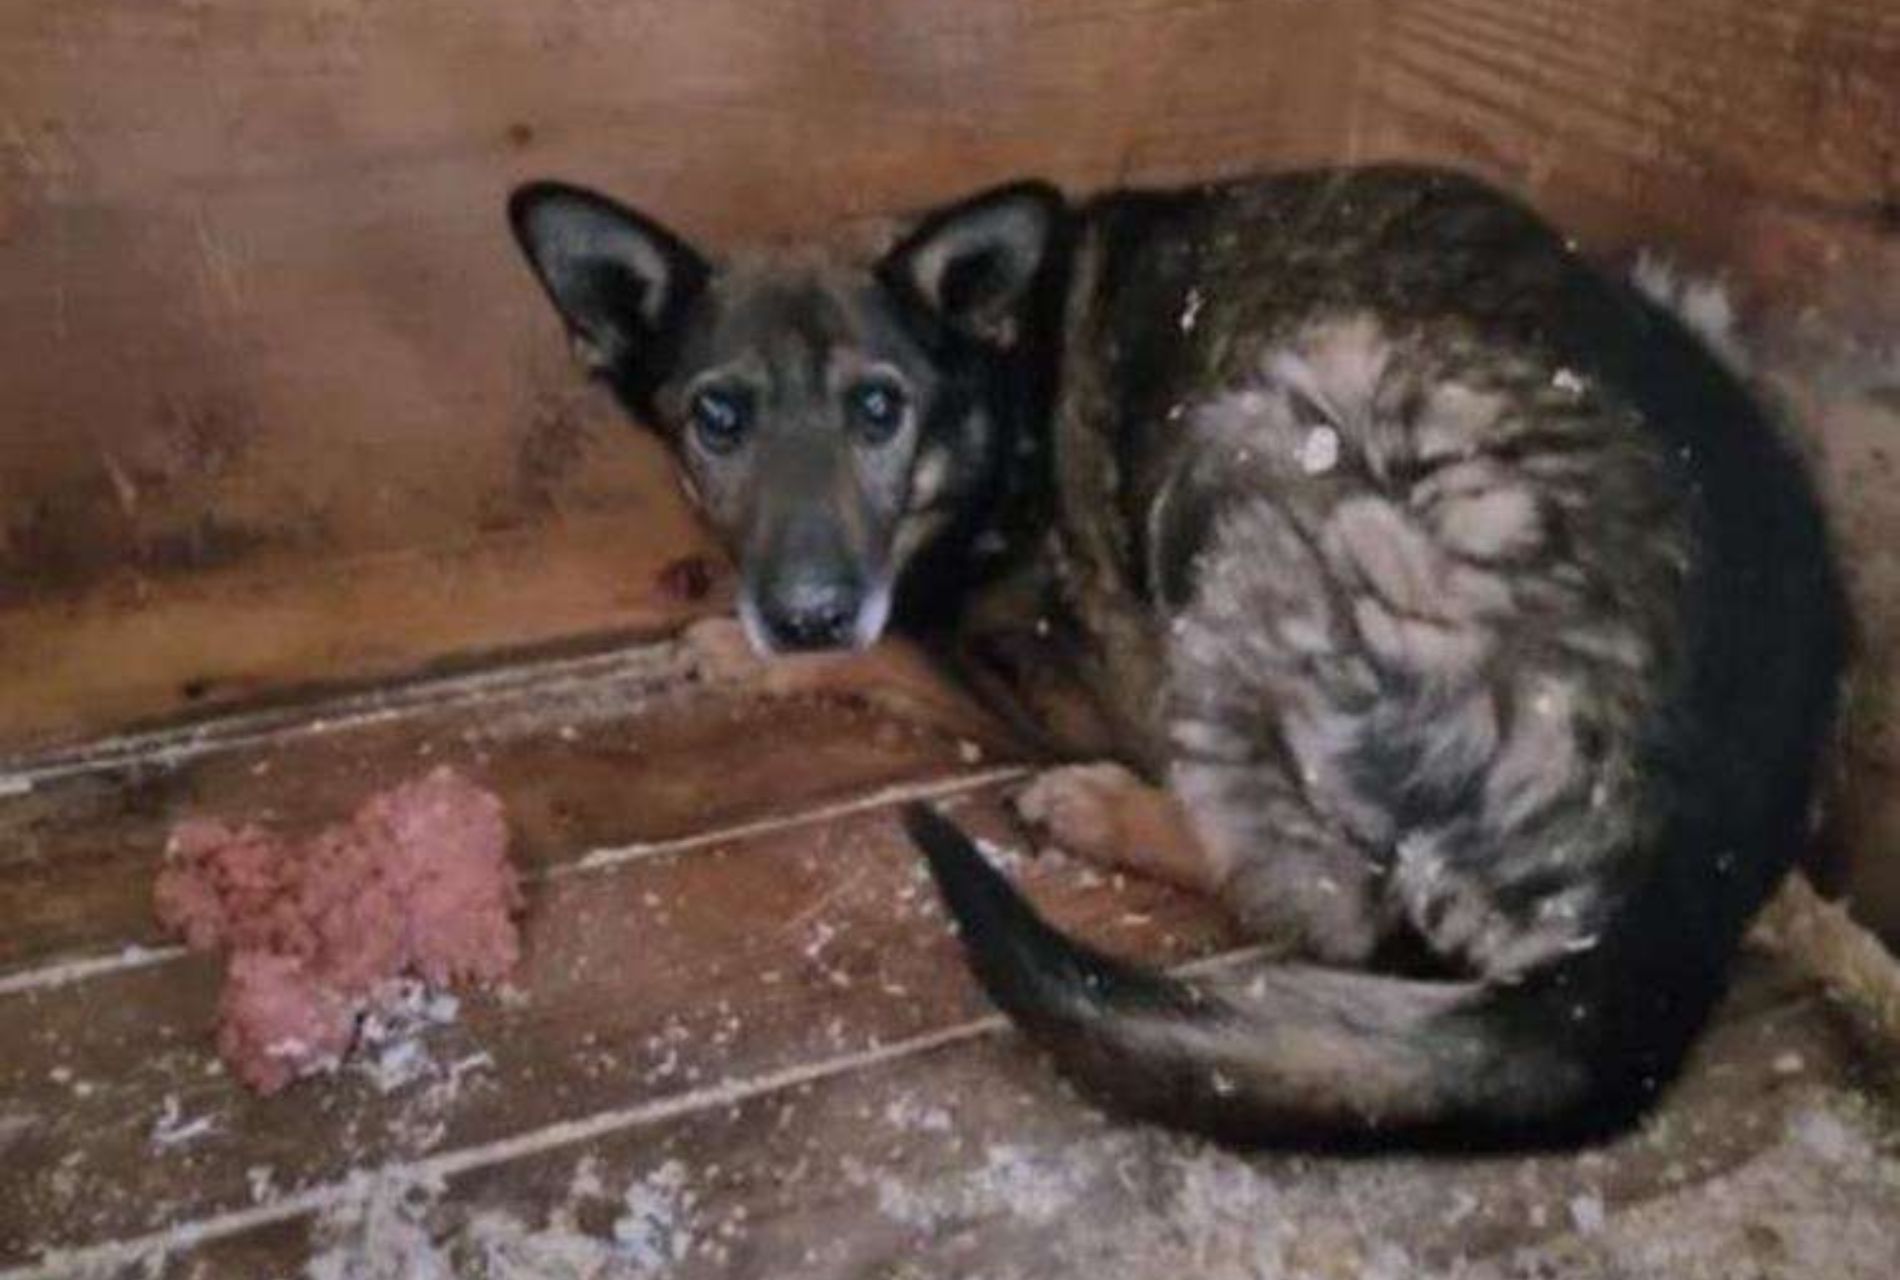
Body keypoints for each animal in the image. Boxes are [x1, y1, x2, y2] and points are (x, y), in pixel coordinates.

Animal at [513, 164, 1846, 1139]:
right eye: (717, 417)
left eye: (877, 408)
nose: (803, 608)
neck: (996, 383)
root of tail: (1702, 866)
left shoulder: (1051, 677)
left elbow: (903, 649)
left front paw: (747, 650)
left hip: (1256, 433)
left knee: (1339, 899)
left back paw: (1105, 808)